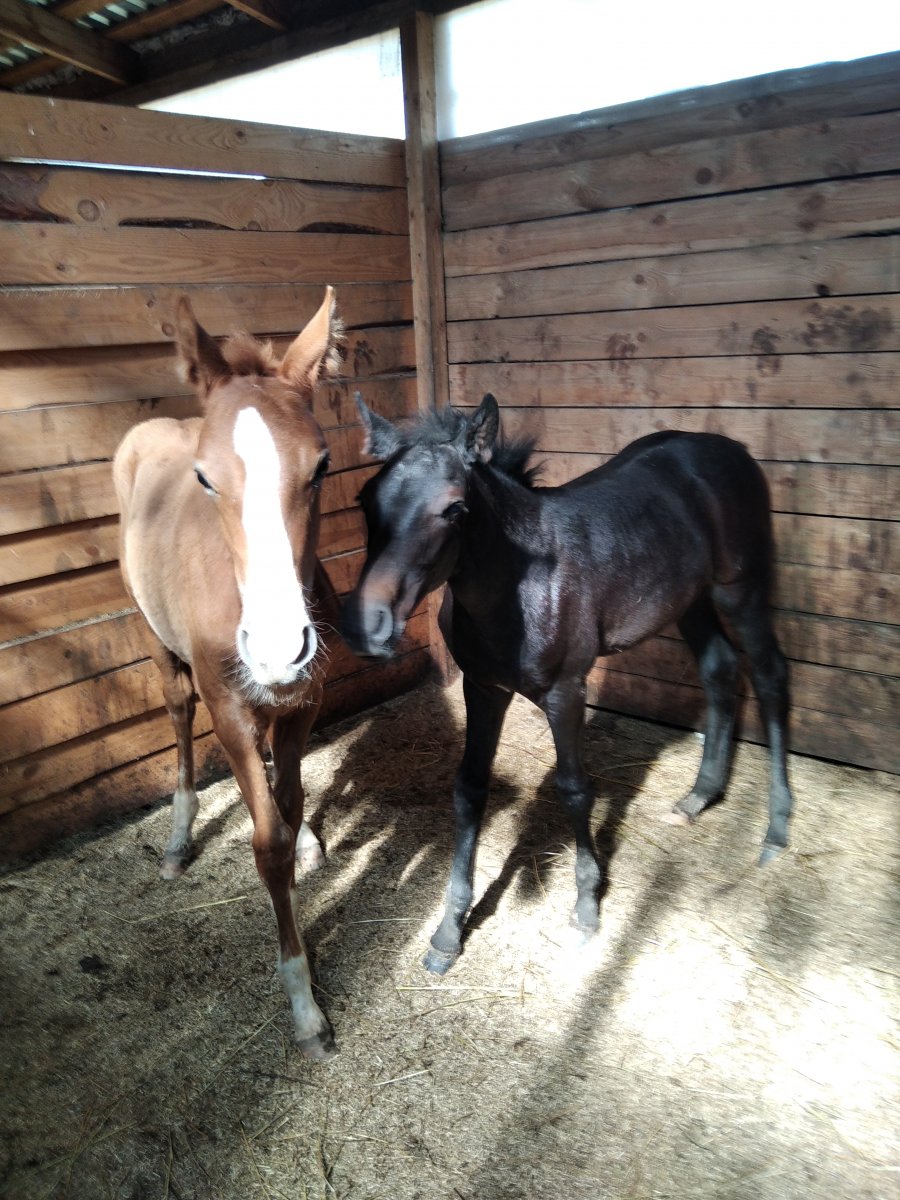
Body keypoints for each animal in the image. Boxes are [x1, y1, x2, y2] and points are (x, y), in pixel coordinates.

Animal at [116, 292, 345, 1060]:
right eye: (205, 477)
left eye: (322, 466)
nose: (277, 650)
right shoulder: (230, 709)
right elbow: (265, 843)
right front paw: (303, 1004)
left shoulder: (304, 702)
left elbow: (290, 805)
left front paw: (303, 840)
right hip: (160, 649)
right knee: (176, 714)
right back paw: (179, 840)